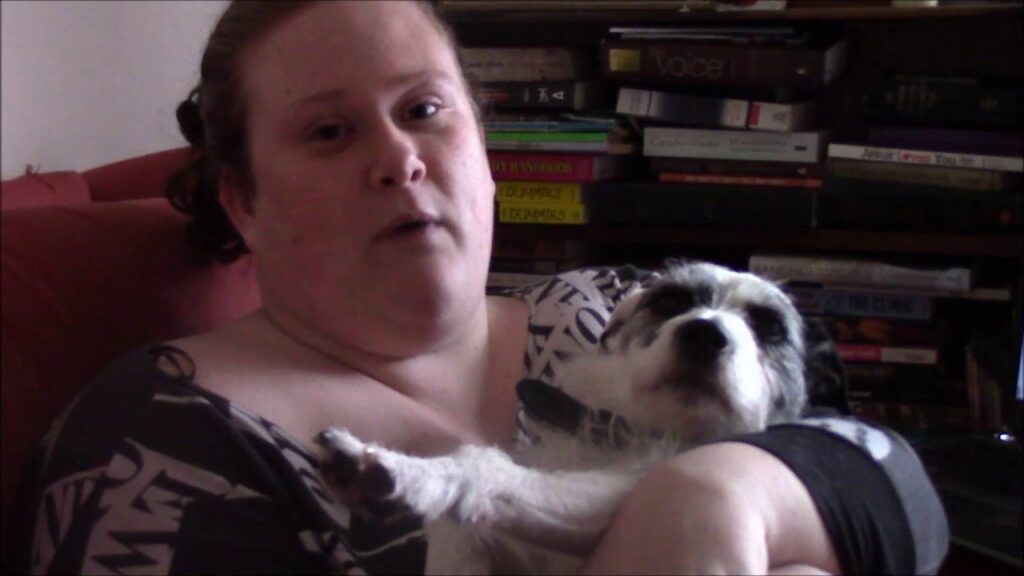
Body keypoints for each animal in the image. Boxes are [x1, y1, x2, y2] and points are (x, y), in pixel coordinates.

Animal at [315, 262, 843, 569]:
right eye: (672, 302)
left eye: (770, 328)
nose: (703, 334)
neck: (625, 435)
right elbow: (458, 534)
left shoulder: (615, 497)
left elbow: (484, 470)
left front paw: (398, 472)